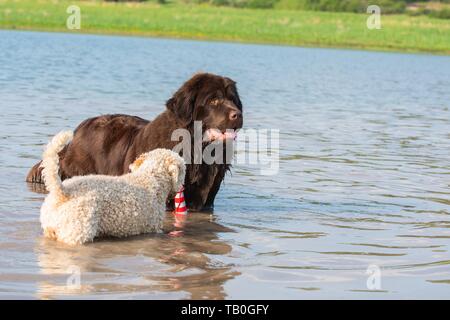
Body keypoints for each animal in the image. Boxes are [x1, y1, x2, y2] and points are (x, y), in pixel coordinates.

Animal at [39, 130, 185, 245]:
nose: (182, 187)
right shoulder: (153, 228)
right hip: (77, 232)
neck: (152, 177)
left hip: (51, 229)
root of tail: (62, 191)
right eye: (184, 169)